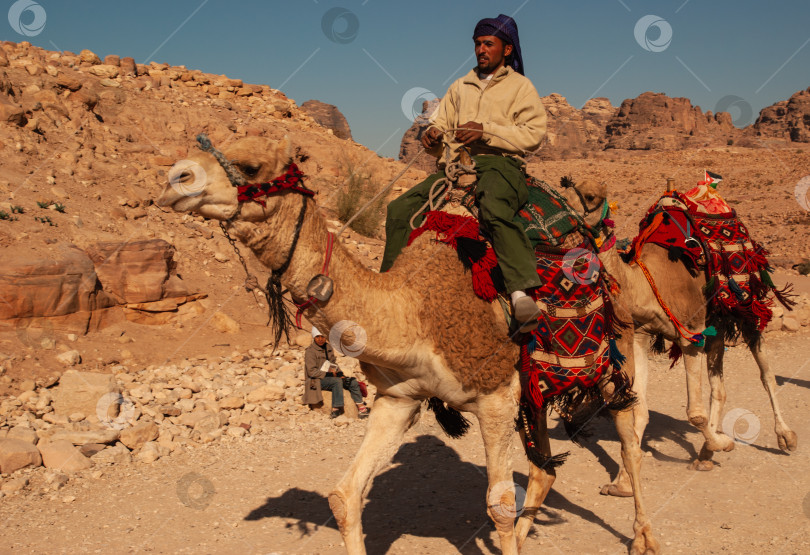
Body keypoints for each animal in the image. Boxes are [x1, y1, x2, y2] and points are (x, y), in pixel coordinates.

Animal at [156, 136, 656, 555]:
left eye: (250, 165)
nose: (175, 178)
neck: (415, 311)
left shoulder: (494, 397)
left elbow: (497, 505)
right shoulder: (399, 398)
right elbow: (343, 496)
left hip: (613, 352)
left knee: (629, 436)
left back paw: (642, 537)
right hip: (534, 384)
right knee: (544, 468)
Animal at [560, 180, 796, 498]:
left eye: (590, 196)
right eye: (564, 188)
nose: (563, 221)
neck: (646, 282)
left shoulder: (690, 333)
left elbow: (694, 413)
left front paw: (724, 442)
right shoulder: (642, 335)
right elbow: (639, 410)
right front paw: (621, 483)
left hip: (747, 304)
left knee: (766, 374)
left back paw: (785, 437)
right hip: (716, 321)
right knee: (719, 386)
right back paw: (705, 456)